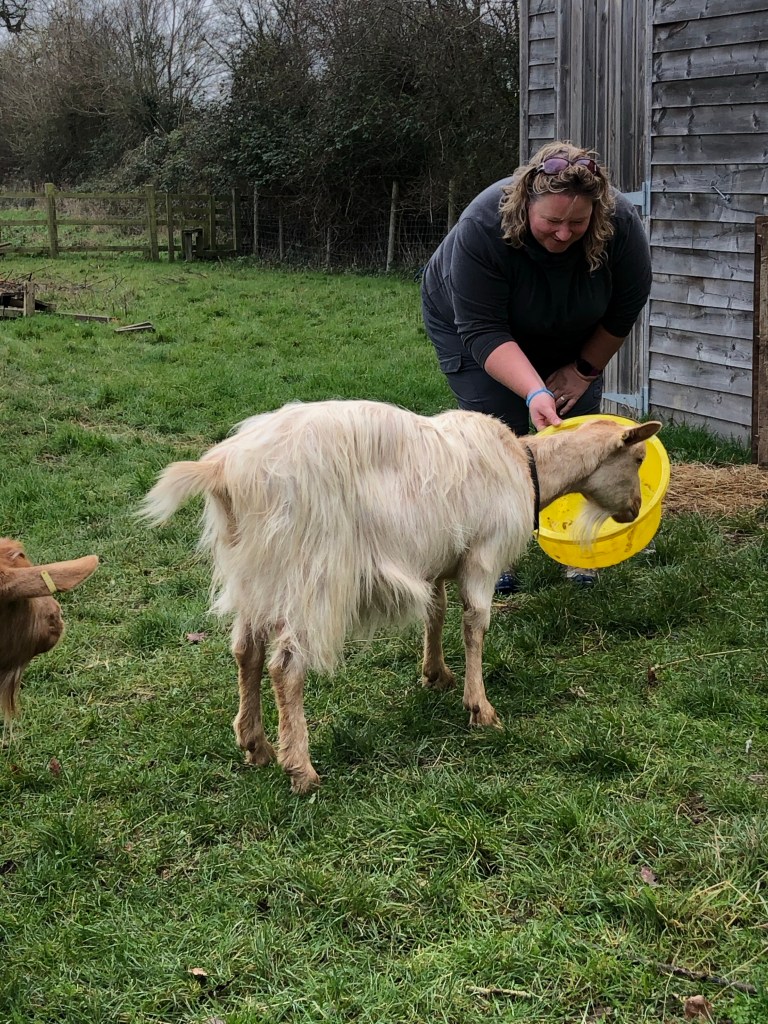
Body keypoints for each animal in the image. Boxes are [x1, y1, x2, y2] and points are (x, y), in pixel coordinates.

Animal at [140, 399, 661, 794]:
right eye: (637, 459)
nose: (635, 509)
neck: (525, 466)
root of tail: (226, 468)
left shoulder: (436, 560)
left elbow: (437, 613)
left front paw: (435, 674)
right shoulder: (483, 555)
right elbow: (476, 624)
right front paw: (481, 708)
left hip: (256, 572)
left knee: (245, 651)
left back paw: (256, 745)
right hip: (310, 571)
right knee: (285, 667)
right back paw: (301, 768)